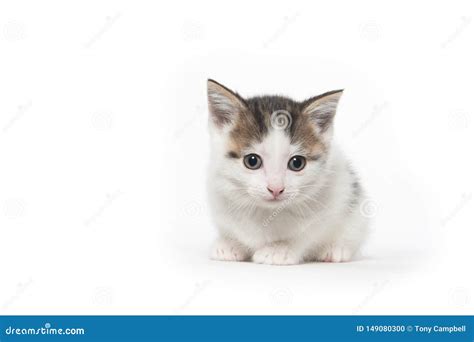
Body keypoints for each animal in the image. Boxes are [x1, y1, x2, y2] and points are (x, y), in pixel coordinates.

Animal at [206, 79, 366, 264]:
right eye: (252, 161)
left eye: (297, 163)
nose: (276, 188)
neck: (266, 212)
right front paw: (230, 243)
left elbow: (308, 234)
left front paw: (279, 249)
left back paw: (336, 249)